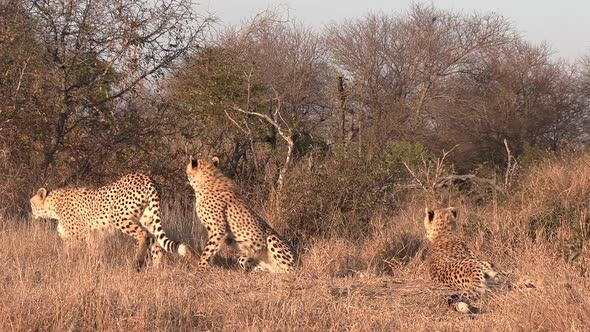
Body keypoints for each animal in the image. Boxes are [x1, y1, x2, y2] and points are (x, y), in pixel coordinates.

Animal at [30, 174, 190, 270]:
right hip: (149, 219)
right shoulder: (82, 237)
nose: (31, 214)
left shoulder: (83, 236)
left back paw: (138, 261)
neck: (53, 205)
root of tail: (146, 177)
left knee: (143, 234)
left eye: (32, 203)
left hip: (118, 216)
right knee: (157, 243)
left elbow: (82, 253)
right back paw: (156, 270)